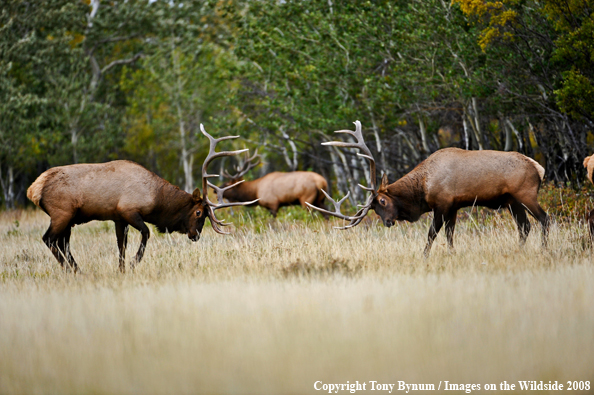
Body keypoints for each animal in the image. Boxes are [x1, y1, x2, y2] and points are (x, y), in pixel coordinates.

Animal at [26, 125, 256, 274]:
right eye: (199, 212)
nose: (195, 235)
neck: (157, 199)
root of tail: (33, 189)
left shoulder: (118, 217)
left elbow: (121, 245)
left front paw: (121, 270)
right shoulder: (129, 211)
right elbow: (146, 233)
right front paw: (133, 264)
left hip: (69, 219)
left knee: (62, 243)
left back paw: (76, 270)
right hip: (62, 213)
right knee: (49, 239)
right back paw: (73, 271)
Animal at [308, 121, 548, 256]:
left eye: (383, 201)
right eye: (375, 209)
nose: (387, 222)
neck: (422, 187)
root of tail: (539, 167)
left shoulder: (442, 204)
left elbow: (432, 234)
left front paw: (424, 256)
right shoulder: (454, 207)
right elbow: (450, 235)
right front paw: (451, 254)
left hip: (525, 194)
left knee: (543, 218)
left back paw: (544, 250)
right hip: (511, 201)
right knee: (525, 227)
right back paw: (519, 251)